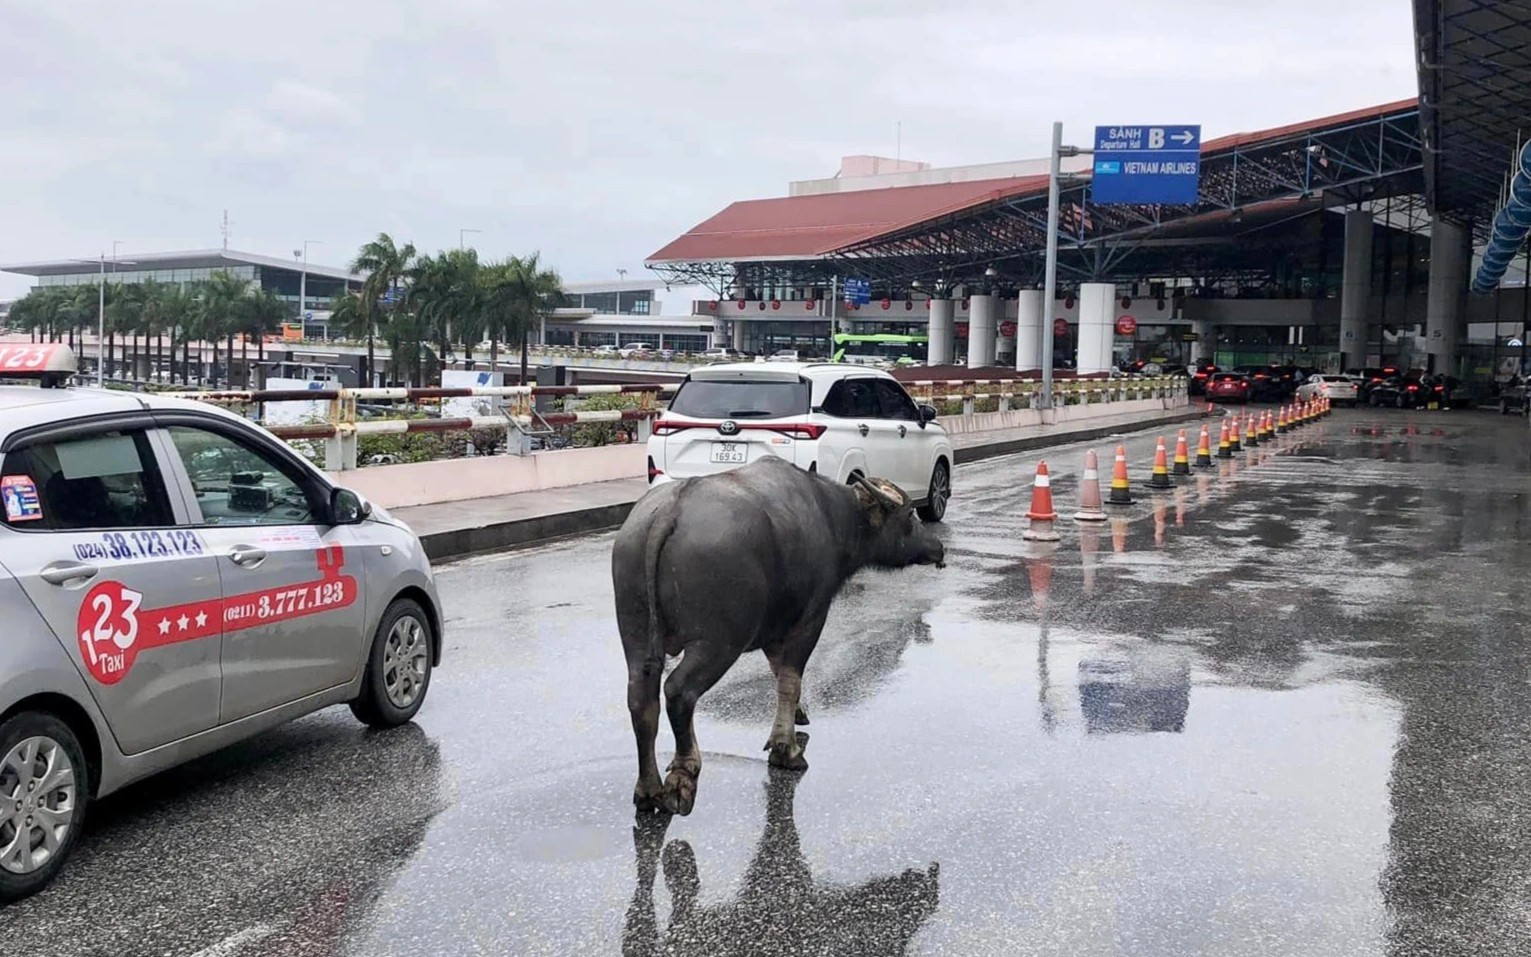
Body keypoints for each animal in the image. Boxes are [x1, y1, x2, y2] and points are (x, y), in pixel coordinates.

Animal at [612, 456, 943, 814]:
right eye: (908, 515)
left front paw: (798, 716)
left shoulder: (775, 629)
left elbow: (777, 671)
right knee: (678, 692)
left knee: (641, 700)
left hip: (635, 633)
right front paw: (786, 750)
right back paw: (683, 777)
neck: (832, 517)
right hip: (718, 642)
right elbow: (789, 679)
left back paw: (648, 789)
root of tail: (671, 511)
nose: (938, 548)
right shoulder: (811, 619)